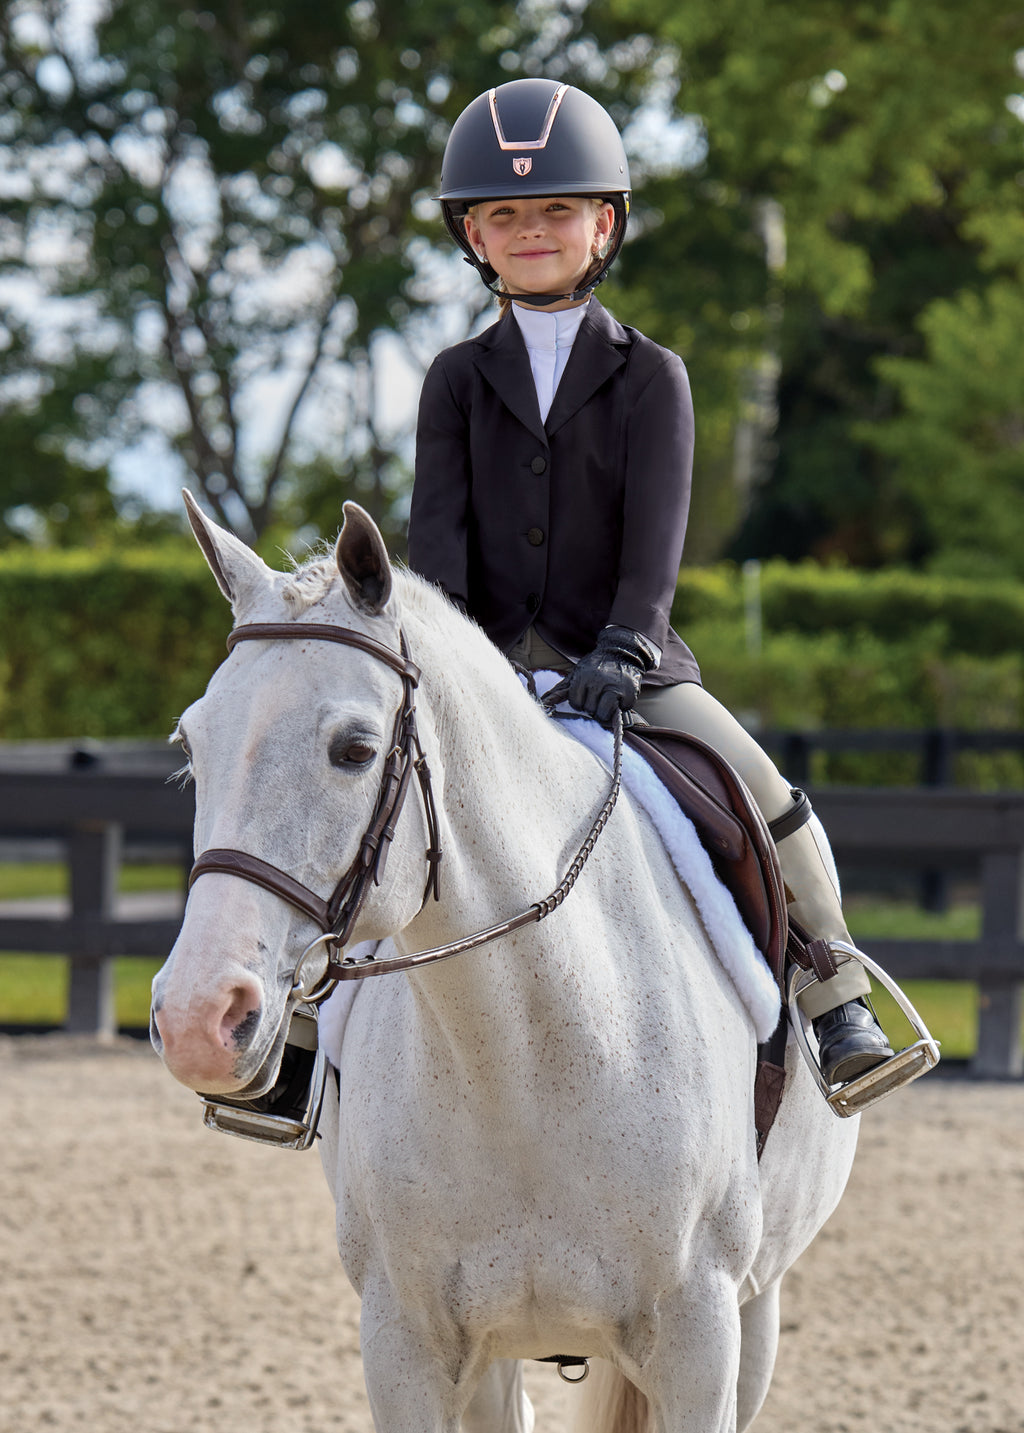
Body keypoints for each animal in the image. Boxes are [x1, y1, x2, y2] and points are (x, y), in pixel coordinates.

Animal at [151, 493, 859, 1433]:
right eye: (191, 746)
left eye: (355, 748)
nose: (198, 1017)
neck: (526, 1051)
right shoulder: (407, 1346)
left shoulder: (701, 1344)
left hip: (759, 1311)